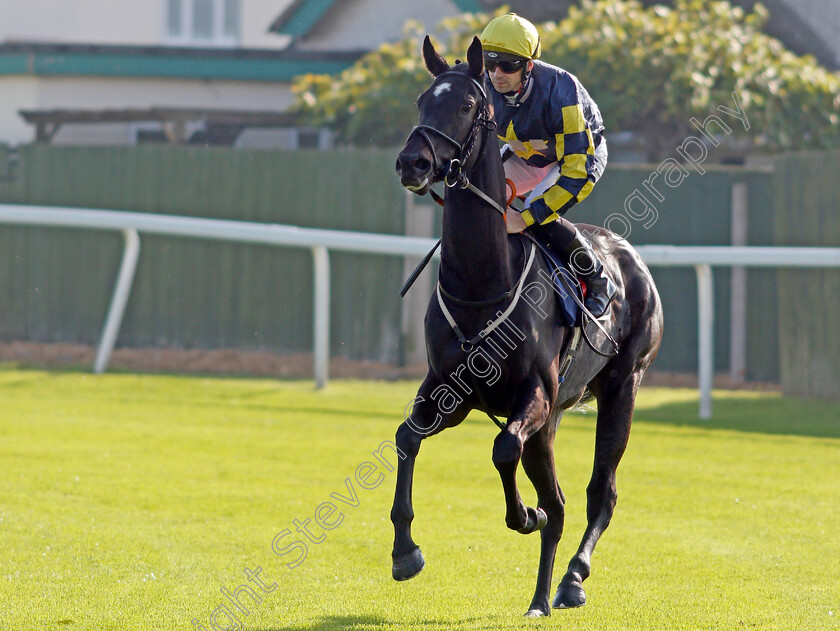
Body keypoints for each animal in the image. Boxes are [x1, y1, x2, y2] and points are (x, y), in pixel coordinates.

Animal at [392, 34, 664, 616]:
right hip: (555, 418)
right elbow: (406, 438)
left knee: (598, 492)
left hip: (622, 388)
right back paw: (540, 595)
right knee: (558, 501)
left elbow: (504, 451)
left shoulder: (534, 394)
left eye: (466, 105)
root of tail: (633, 261)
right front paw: (405, 551)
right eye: (422, 101)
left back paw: (571, 579)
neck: (481, 284)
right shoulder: (448, 391)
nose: (412, 162)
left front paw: (522, 516)